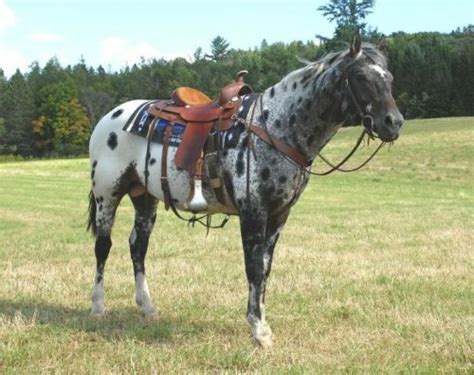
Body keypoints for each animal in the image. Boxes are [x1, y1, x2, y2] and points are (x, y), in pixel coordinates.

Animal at [87, 35, 402, 350]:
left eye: (389, 78)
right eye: (361, 77)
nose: (394, 122)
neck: (276, 127)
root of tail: (109, 117)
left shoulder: (279, 215)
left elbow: (265, 267)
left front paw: (261, 322)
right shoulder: (253, 212)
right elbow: (254, 268)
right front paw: (259, 330)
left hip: (144, 197)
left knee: (138, 246)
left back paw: (147, 307)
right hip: (107, 194)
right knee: (103, 246)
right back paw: (98, 307)